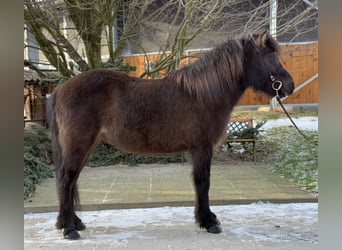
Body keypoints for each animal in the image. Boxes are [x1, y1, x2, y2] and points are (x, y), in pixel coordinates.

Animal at [46, 31, 294, 238]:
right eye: (270, 58)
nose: (290, 86)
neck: (203, 94)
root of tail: (60, 90)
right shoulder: (202, 147)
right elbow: (202, 182)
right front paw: (209, 222)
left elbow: (199, 182)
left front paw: (206, 219)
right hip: (78, 146)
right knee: (66, 180)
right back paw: (69, 229)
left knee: (70, 181)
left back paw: (73, 223)